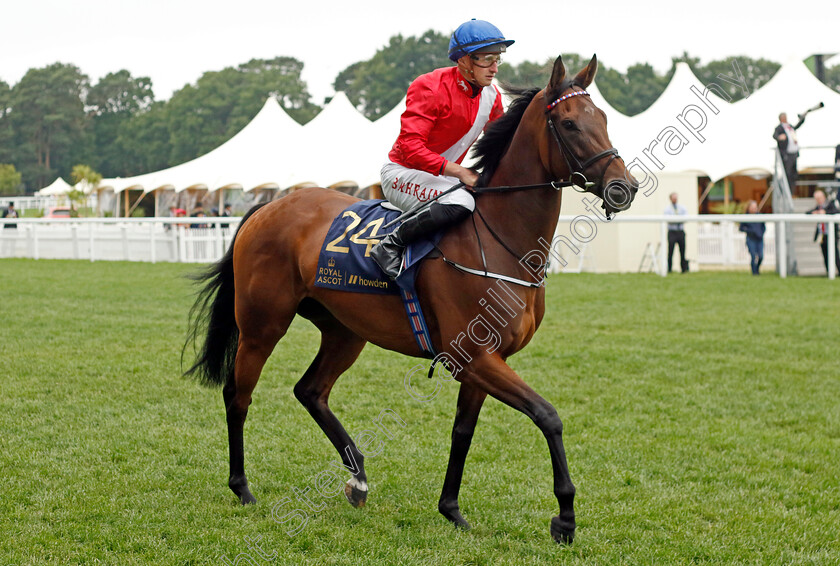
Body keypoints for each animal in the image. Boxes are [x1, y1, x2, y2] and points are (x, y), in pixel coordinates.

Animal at [185, 54, 636, 544]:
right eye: (570, 123)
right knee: (238, 395)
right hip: (262, 325)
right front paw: (565, 517)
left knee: (311, 390)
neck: (499, 240)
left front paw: (452, 509)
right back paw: (242, 487)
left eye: (604, 118)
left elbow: (463, 432)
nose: (624, 187)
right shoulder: (478, 356)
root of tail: (267, 208)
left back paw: (359, 478)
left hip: (345, 331)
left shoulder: (480, 362)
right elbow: (548, 416)